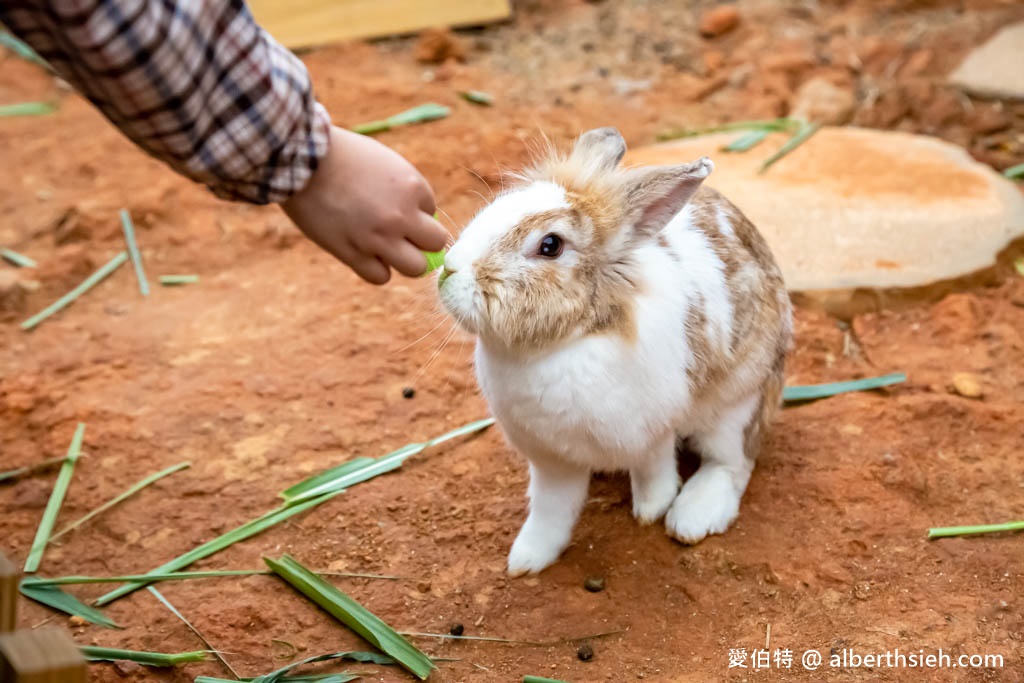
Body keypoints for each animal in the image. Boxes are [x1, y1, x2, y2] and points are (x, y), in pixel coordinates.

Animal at [438, 127, 790, 577]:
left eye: (550, 245)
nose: (448, 269)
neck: (558, 345)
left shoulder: (651, 431)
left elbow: (654, 471)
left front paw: (652, 510)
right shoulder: (551, 459)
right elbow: (551, 511)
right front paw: (527, 560)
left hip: (738, 402)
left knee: (733, 461)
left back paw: (692, 516)